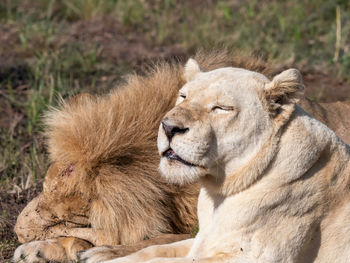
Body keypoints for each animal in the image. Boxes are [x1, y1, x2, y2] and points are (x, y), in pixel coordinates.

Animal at [13, 51, 350, 263]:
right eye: (183, 96)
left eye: (222, 108)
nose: (17, 231)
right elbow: (151, 247)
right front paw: (40, 249)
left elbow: (151, 245)